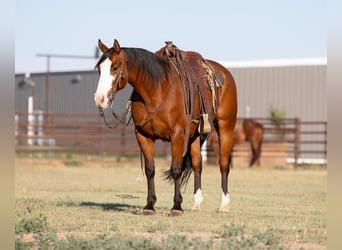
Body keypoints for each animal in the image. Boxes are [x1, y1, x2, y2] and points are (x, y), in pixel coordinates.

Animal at [93, 38, 238, 215]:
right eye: (99, 69)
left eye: (114, 67)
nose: (99, 99)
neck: (156, 91)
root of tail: (224, 73)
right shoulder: (143, 136)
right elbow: (150, 170)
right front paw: (149, 205)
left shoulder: (177, 135)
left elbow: (176, 169)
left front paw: (176, 207)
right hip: (195, 135)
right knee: (197, 164)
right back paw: (196, 204)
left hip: (226, 126)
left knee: (223, 164)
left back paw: (224, 205)